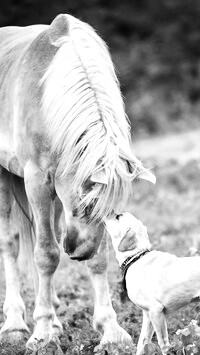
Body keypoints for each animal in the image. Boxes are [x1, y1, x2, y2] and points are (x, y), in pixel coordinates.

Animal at [104, 213, 200, 354]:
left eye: (117, 216)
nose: (104, 213)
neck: (136, 257)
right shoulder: (147, 315)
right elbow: (142, 343)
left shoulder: (156, 311)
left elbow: (163, 343)